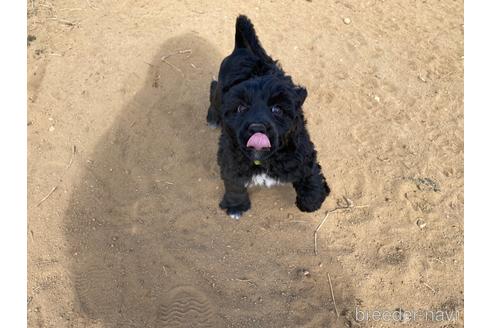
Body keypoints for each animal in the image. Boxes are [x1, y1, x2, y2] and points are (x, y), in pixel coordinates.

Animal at [206, 16, 328, 220]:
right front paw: (236, 206)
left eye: (277, 109)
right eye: (241, 108)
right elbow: (234, 184)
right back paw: (213, 117)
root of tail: (242, 48)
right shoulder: (230, 158)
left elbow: (311, 173)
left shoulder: (302, 152)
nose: (257, 128)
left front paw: (312, 199)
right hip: (220, 90)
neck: (265, 160)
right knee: (214, 87)